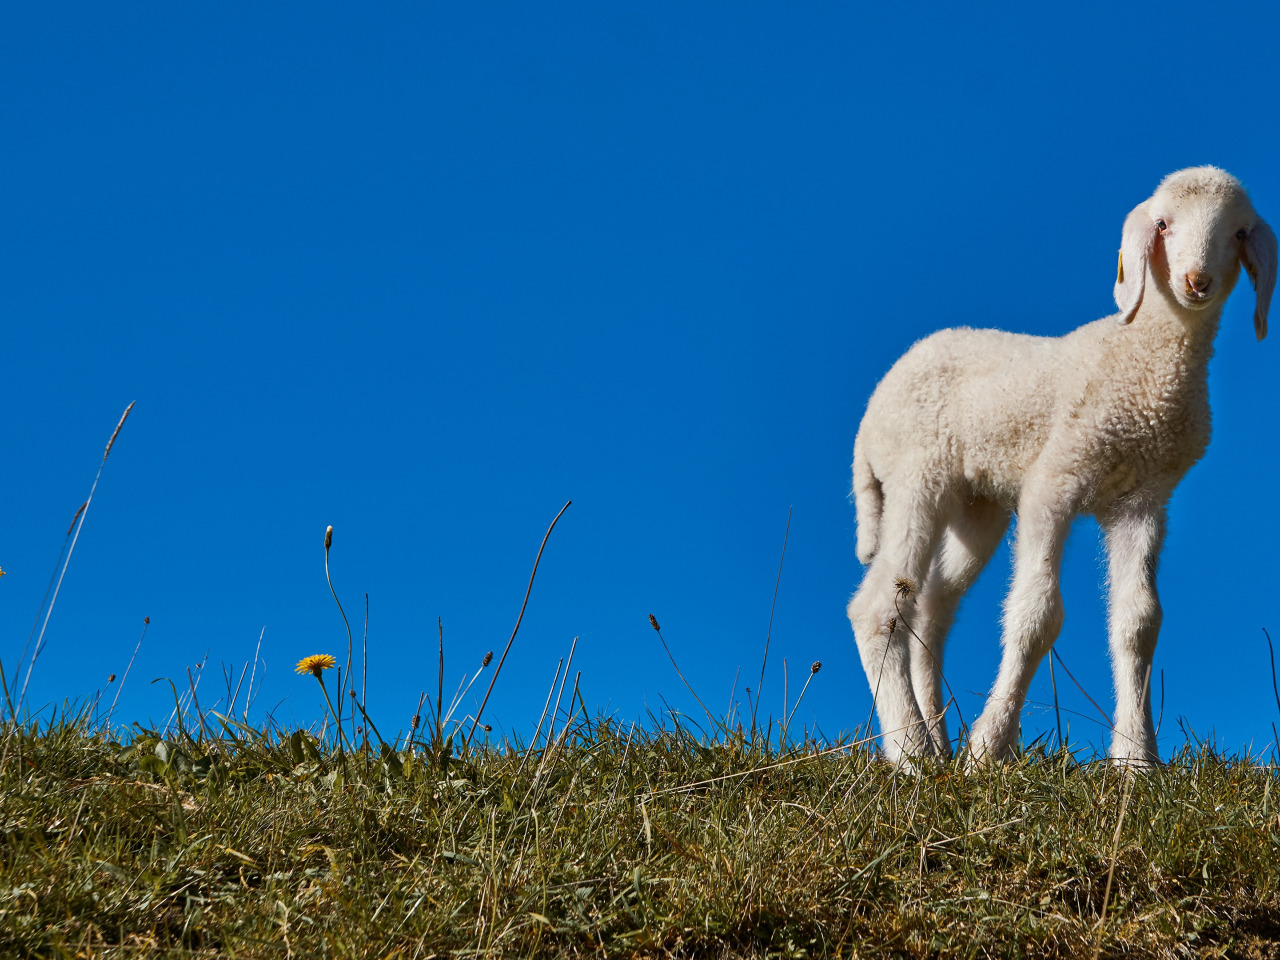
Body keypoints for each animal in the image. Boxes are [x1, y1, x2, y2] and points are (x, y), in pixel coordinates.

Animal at [844, 165, 1274, 768]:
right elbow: (1036, 614)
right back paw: (912, 754)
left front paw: (1136, 762)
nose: (1195, 281)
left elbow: (1138, 623)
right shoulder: (1057, 478)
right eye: (1163, 224)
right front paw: (990, 747)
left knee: (931, 606)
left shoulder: (1144, 499)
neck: (1146, 361)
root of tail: (868, 419)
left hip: (977, 506)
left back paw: (938, 741)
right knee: (879, 606)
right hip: (915, 476)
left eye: (1238, 233)